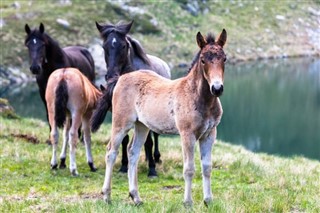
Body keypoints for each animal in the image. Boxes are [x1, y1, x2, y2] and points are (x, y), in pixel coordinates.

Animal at [91, 20, 171, 176]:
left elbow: (149, 141)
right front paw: (123, 165)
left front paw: (152, 169)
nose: (111, 75)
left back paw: (155, 158)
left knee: (155, 135)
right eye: (104, 47)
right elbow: (125, 139)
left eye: (123, 46)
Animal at [102, 29, 228, 206]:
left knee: (133, 152)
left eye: (224, 58)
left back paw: (136, 197)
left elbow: (207, 167)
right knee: (111, 152)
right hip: (121, 122)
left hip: (141, 125)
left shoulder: (209, 134)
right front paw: (187, 202)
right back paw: (106, 196)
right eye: (203, 60)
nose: (217, 88)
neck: (198, 97)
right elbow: (189, 169)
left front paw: (208, 201)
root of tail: (121, 78)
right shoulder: (187, 134)